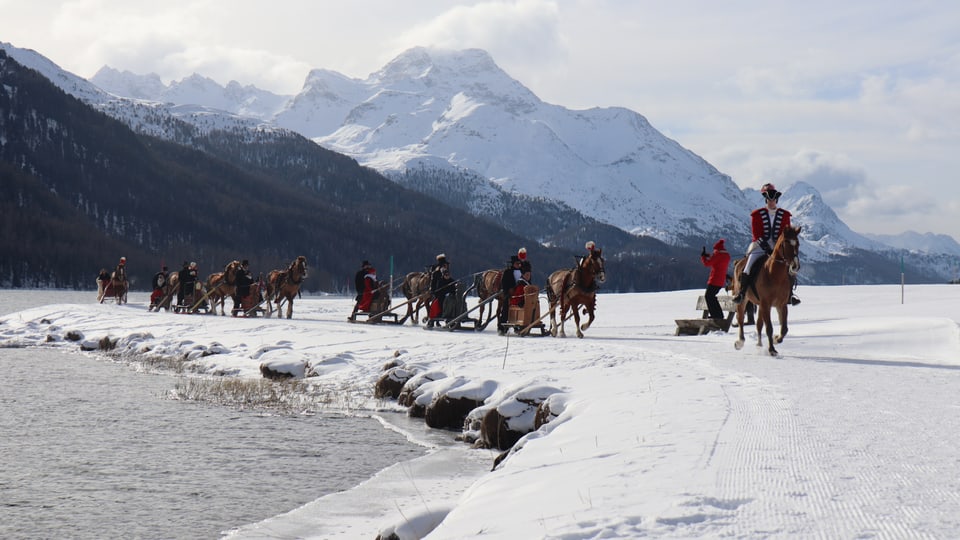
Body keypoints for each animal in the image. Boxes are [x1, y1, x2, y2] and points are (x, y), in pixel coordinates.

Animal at [736, 224, 804, 354]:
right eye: (785, 243)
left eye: (797, 243)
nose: (795, 266)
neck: (774, 275)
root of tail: (739, 262)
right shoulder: (766, 304)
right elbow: (769, 328)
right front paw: (772, 350)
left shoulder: (781, 304)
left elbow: (784, 328)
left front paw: (776, 339)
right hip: (743, 299)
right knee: (741, 319)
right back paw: (740, 342)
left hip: (761, 306)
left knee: (758, 324)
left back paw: (759, 344)